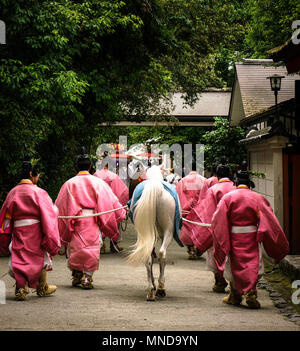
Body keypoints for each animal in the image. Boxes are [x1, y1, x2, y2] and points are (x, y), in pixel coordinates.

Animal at [126, 166, 176, 302]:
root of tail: (155, 187)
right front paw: (158, 286)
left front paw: (152, 285)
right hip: (168, 231)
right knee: (162, 253)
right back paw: (161, 288)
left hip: (145, 232)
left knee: (148, 256)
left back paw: (150, 291)